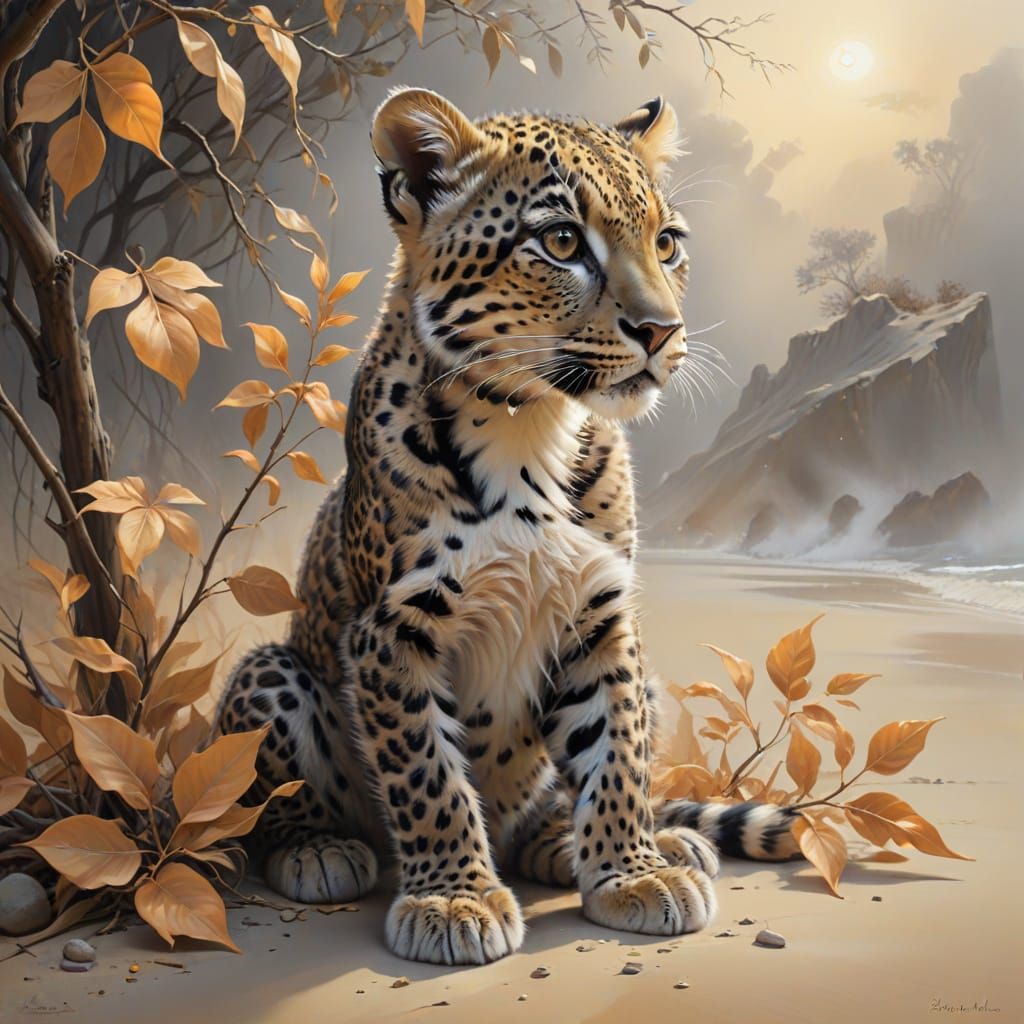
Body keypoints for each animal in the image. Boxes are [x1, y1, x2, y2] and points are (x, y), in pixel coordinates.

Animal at [217, 87, 798, 966]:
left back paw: (610, 842)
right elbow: (428, 773)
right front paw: (454, 898)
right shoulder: (391, 630)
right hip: (270, 670)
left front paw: (630, 872)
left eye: (666, 243)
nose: (662, 331)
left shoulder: (601, 618)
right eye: (561, 241)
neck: (530, 427)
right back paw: (319, 849)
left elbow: (617, 754)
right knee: (288, 794)